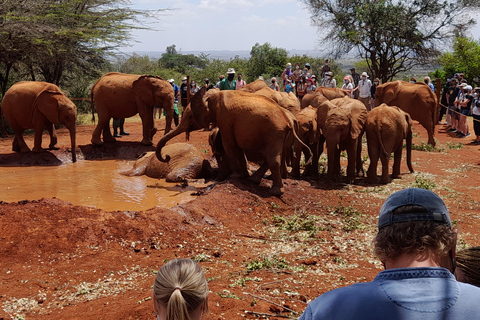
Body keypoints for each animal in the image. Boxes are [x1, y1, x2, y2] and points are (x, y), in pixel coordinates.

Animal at [156, 86, 310, 195]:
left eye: (189, 117)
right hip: (279, 135)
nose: (166, 156)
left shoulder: (224, 117)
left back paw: (275, 192)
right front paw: (243, 175)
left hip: (274, 132)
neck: (212, 97)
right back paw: (254, 180)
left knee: (273, 158)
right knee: (273, 155)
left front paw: (234, 177)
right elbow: (238, 147)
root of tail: (288, 121)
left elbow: (229, 144)